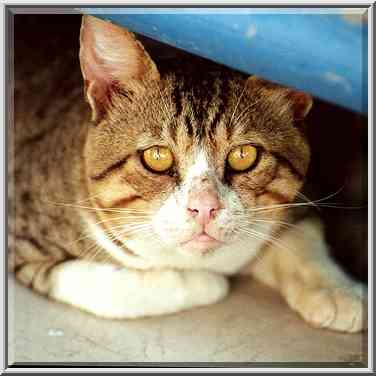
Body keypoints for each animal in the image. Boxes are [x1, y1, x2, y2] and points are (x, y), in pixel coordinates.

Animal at [8, 14, 366, 332]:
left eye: (243, 156)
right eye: (157, 156)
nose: (204, 207)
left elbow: (302, 234)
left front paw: (337, 290)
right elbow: (115, 289)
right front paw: (206, 281)